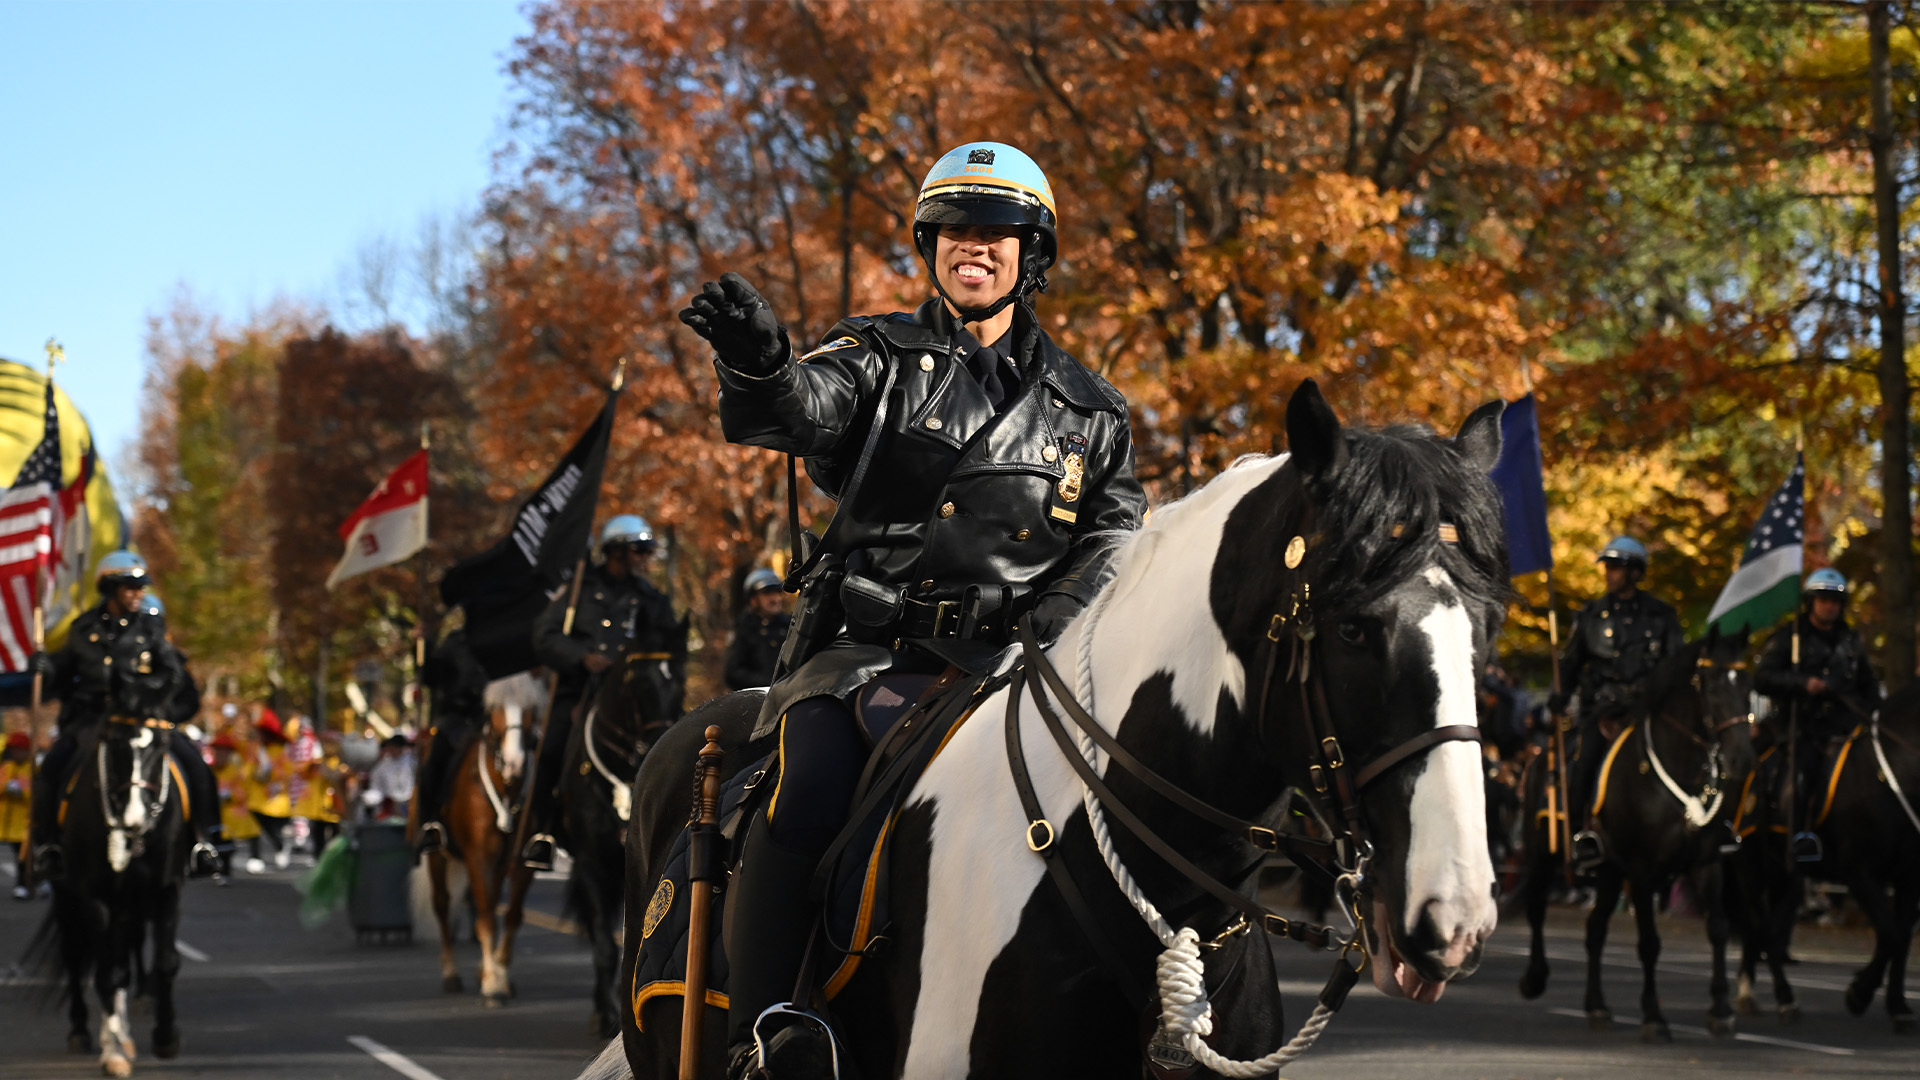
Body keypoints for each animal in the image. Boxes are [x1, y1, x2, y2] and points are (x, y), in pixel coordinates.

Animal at [30, 711, 192, 1068]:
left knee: (122, 955)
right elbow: (106, 971)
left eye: (161, 746)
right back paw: (83, 1031)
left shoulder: (166, 891)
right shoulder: (96, 897)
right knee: (76, 956)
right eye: (114, 745)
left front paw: (165, 1036)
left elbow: (165, 961)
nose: (135, 818)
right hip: (69, 898)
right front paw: (113, 1052)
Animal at [433, 672, 549, 999]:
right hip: (437, 855)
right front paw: (493, 986)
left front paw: (498, 974)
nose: (514, 763)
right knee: (443, 906)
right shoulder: (478, 857)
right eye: (494, 709)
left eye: (531, 709)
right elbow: (484, 917)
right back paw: (450, 973)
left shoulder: (523, 861)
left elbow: (511, 916)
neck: (505, 789)